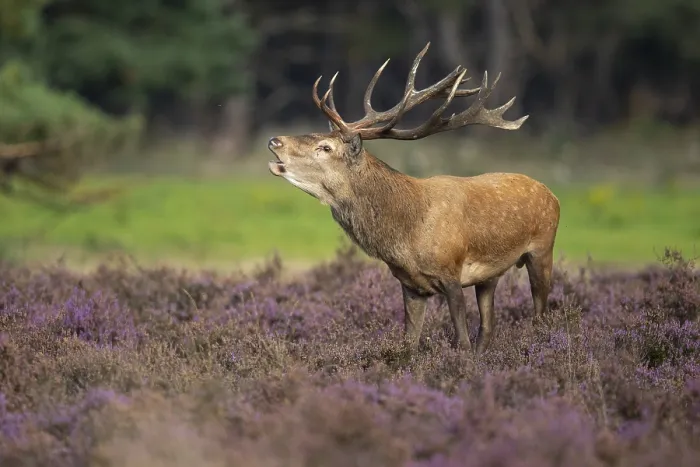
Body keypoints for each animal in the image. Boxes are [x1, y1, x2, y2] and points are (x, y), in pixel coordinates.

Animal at [267, 43, 560, 354]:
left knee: (540, 314)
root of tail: (551, 194)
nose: (275, 140)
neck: (406, 236)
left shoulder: (451, 273)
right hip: (489, 277)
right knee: (488, 328)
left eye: (325, 147)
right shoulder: (410, 285)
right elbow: (409, 344)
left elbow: (462, 342)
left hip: (542, 249)